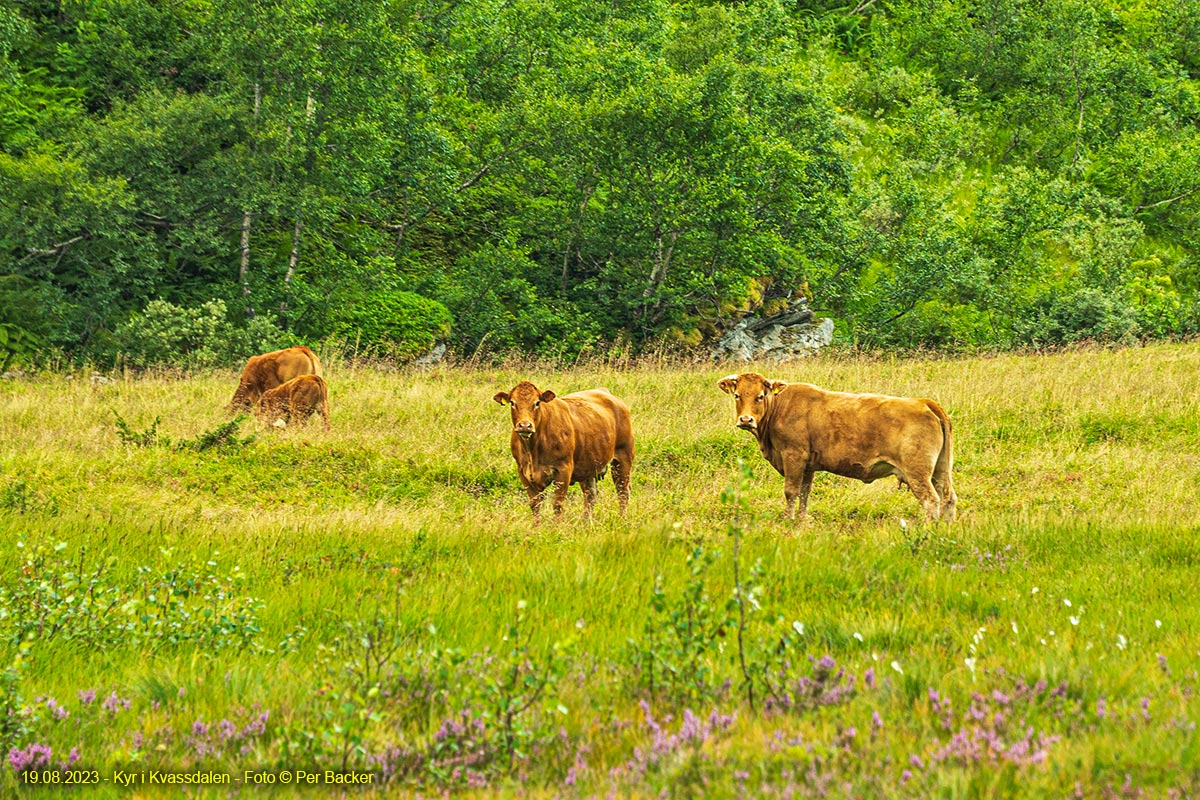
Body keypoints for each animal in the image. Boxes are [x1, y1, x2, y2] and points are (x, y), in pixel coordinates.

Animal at [494, 381, 638, 520]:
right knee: (590, 495)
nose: (525, 425)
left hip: (623, 457)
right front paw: (536, 526)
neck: (532, 452)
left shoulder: (563, 469)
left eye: (537, 403)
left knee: (623, 491)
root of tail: (605, 392)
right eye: (512, 403)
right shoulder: (523, 472)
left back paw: (622, 519)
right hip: (588, 466)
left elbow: (557, 504)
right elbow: (535, 505)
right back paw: (585, 523)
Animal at [715, 376, 960, 525]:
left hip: (917, 473)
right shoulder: (808, 465)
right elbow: (804, 492)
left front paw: (788, 519)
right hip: (940, 470)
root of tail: (924, 402)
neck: (780, 407)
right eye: (737, 395)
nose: (746, 420)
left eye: (760, 396)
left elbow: (791, 491)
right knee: (948, 498)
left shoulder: (793, 456)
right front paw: (802, 520)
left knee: (931, 500)